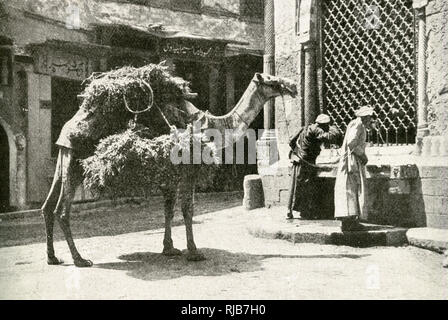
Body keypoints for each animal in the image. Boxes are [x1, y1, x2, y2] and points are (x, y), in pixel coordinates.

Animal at [40, 72, 296, 268]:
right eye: (272, 81)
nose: (292, 86)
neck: (211, 126)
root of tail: (67, 130)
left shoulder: (170, 175)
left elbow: (168, 210)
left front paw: (169, 248)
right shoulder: (188, 169)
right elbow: (187, 209)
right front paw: (194, 252)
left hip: (64, 158)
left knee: (47, 206)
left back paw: (53, 258)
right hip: (75, 162)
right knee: (62, 210)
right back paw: (80, 259)